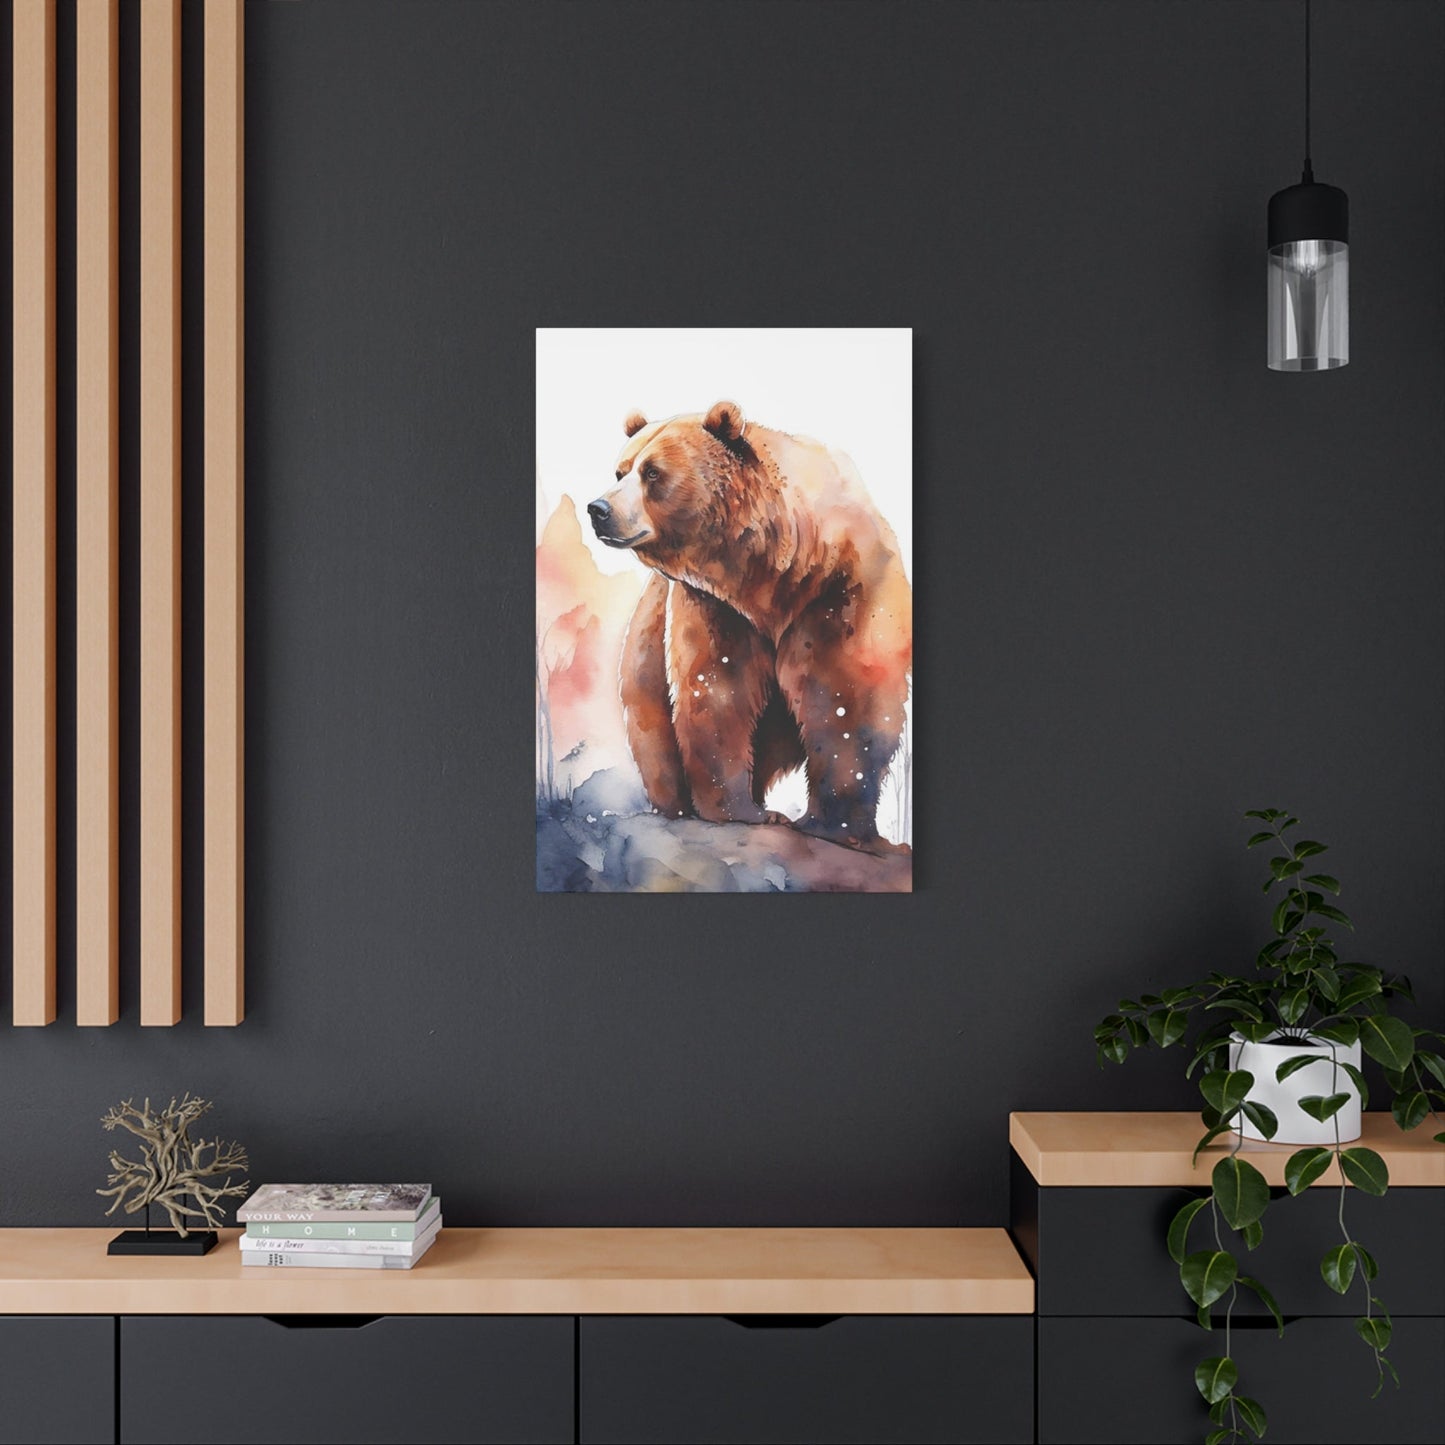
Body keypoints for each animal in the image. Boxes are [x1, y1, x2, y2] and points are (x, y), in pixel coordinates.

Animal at [586, 401, 911, 850]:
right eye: (621, 470)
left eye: (652, 472)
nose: (599, 509)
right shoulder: (718, 607)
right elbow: (718, 687)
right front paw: (740, 811)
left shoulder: (841, 590)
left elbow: (845, 693)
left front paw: (835, 823)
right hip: (643, 656)